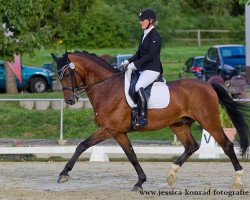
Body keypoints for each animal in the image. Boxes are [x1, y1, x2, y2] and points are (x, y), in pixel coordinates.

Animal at [51, 51, 249, 191]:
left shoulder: (108, 129)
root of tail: (208, 84)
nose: (70, 100)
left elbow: (82, 146)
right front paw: (140, 182)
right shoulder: (118, 132)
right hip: (179, 124)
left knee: (226, 145)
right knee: (191, 146)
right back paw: (171, 174)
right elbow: (131, 155)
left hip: (209, 121)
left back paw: (238, 180)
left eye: (67, 75)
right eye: (58, 76)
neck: (106, 88)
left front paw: (63, 174)